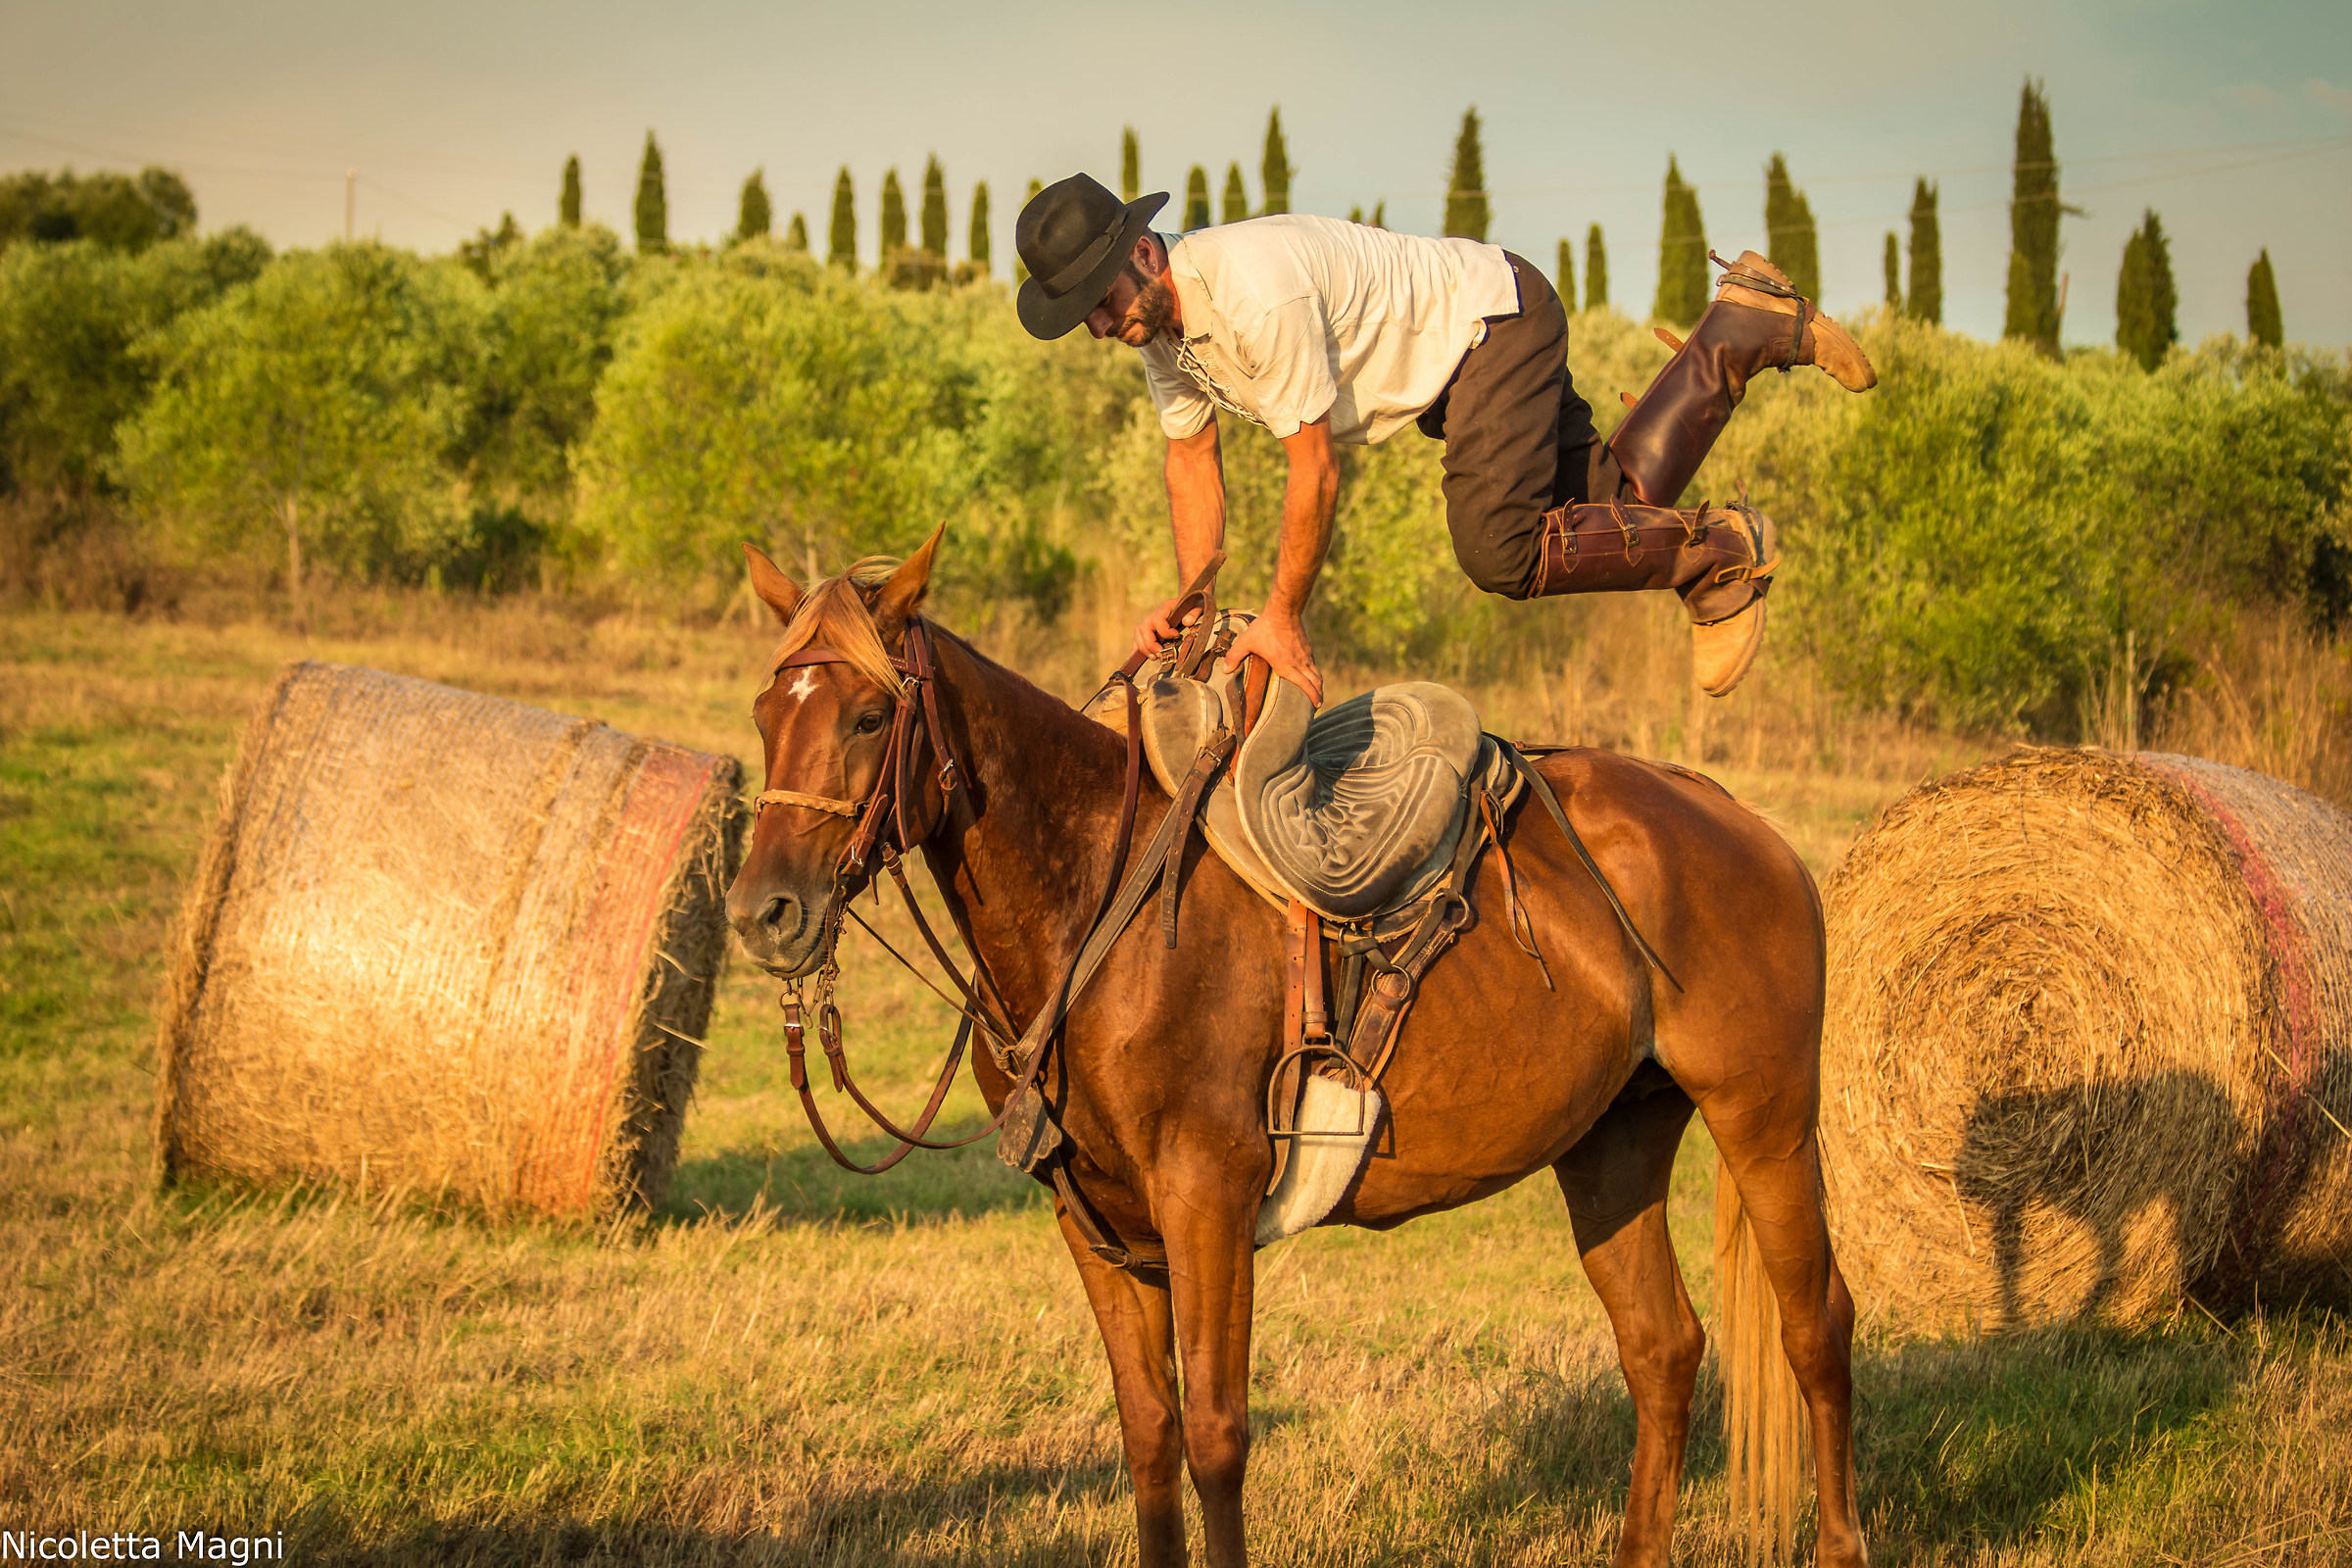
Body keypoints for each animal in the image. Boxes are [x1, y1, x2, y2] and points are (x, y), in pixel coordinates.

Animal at [724, 531, 1867, 1568]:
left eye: (871, 715)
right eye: (766, 714)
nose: (764, 911)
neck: (1098, 903)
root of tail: (1739, 820)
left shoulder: (1207, 1199)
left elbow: (1217, 1437)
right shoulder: (1094, 1219)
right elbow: (1150, 1434)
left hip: (1766, 1119)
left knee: (1815, 1326)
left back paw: (1841, 1539)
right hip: (1612, 1142)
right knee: (1663, 1348)